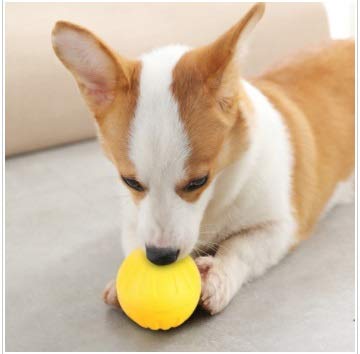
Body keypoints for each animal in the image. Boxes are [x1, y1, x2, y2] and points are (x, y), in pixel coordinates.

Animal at [51, 3, 354, 316]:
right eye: (130, 182)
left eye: (198, 181)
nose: (160, 256)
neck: (215, 202)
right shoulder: (134, 221)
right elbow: (135, 241)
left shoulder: (281, 226)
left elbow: (239, 248)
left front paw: (218, 272)